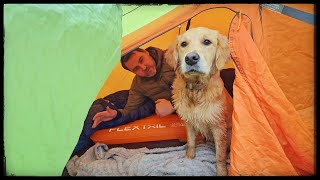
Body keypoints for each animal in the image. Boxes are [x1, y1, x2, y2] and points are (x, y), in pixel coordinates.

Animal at [165, 27, 232, 176]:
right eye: (183, 44)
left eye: (207, 41)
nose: (190, 58)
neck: (195, 90)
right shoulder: (189, 122)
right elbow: (191, 142)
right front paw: (189, 158)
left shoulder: (219, 127)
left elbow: (220, 155)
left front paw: (221, 171)